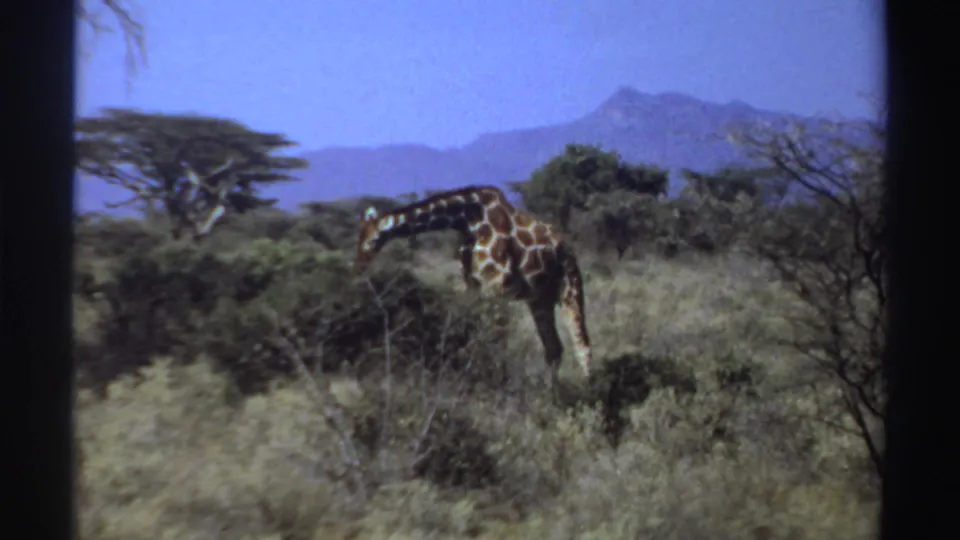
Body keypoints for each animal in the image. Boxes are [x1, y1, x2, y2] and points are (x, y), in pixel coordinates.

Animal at [353, 185, 592, 390]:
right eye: (358, 238)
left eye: (372, 241)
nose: (359, 266)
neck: (468, 220)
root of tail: (566, 248)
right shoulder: (474, 285)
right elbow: (478, 333)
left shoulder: (498, 286)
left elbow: (496, 338)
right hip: (540, 299)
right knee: (554, 348)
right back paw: (552, 393)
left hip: (569, 288)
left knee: (582, 344)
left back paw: (588, 390)